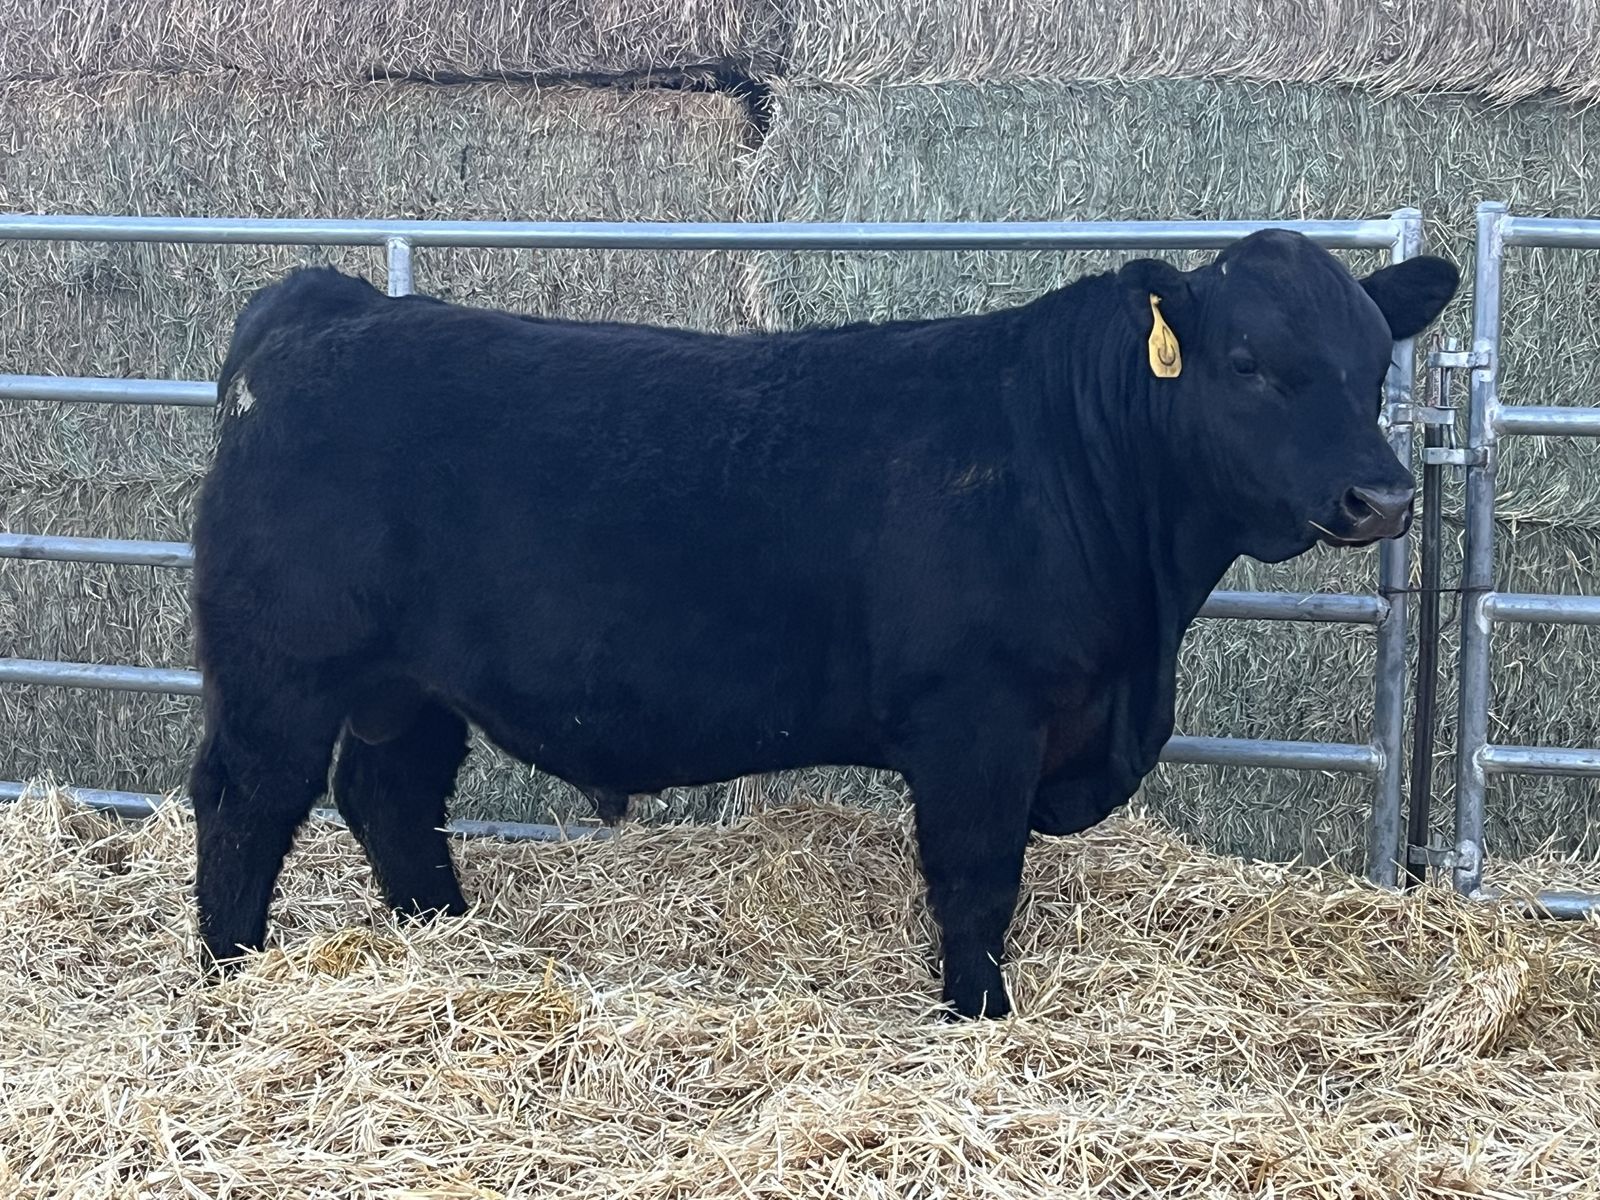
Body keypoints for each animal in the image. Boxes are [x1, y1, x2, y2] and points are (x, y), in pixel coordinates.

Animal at [185, 229, 1457, 1019]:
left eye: (1372, 367)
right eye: (1248, 362)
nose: (1382, 497)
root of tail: (332, 305)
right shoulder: (978, 721)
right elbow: (976, 875)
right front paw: (980, 1014)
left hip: (410, 682)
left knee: (388, 795)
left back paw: (447, 940)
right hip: (281, 664)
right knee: (246, 801)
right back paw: (228, 976)